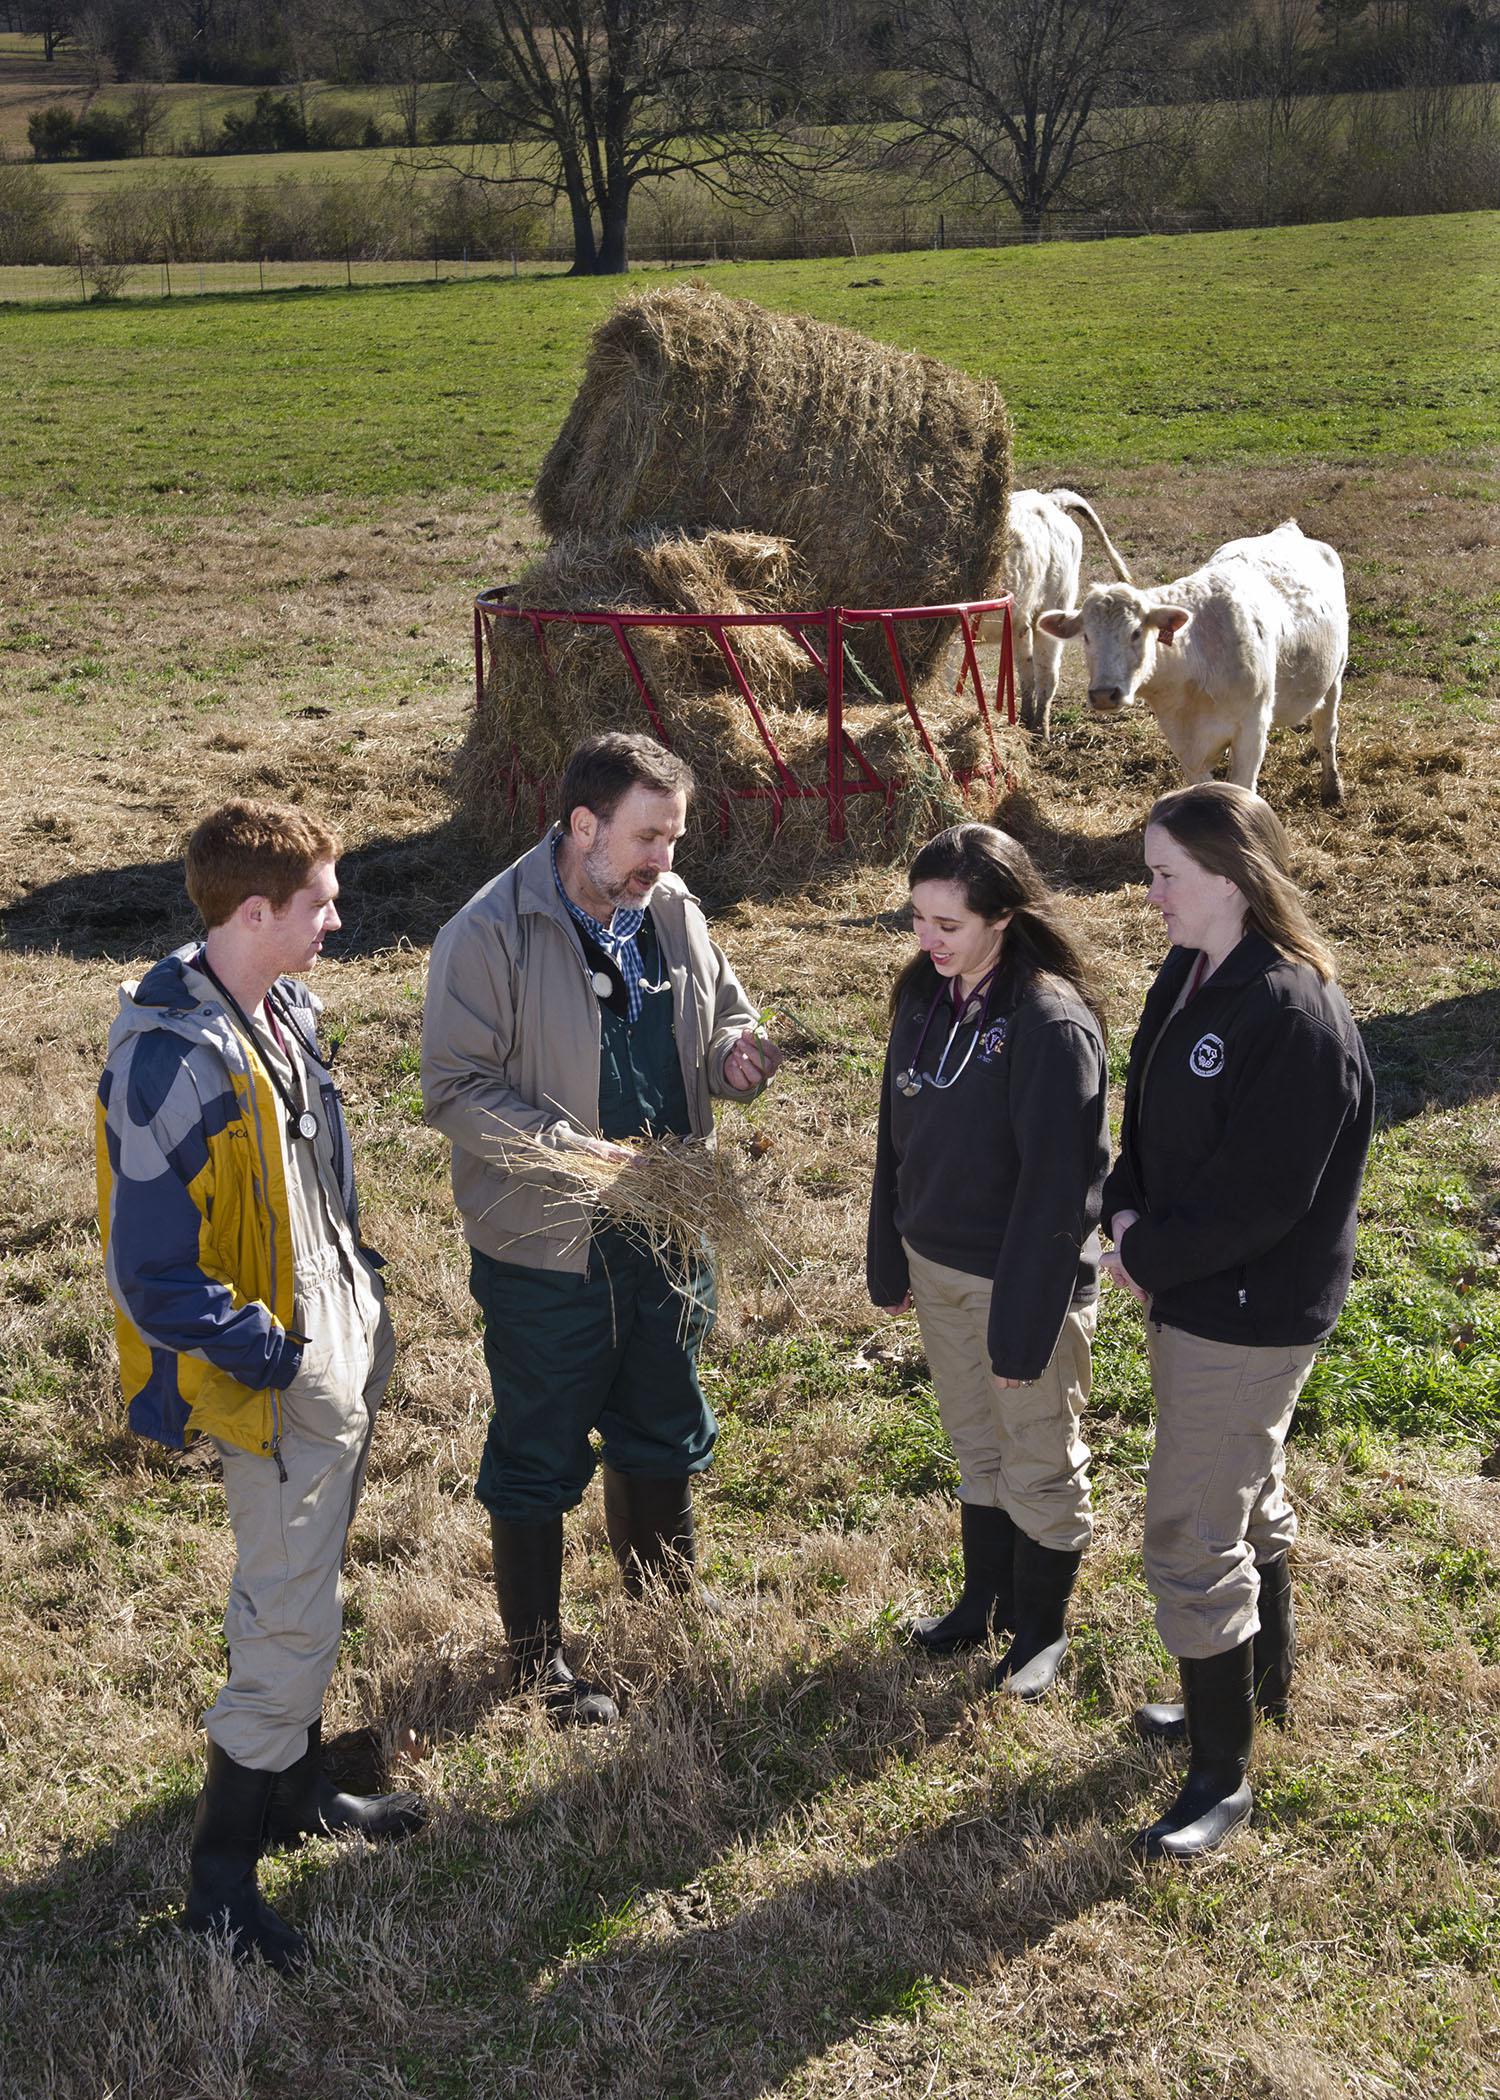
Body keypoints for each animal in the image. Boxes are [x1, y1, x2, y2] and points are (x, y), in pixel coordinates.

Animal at [974, 485, 1126, 739]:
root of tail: (1050, 500)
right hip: (1020, 624)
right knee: (1027, 671)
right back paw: (1025, 723)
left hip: (1052, 613)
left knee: (1047, 674)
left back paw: (1041, 733)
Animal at [1042, 518, 1344, 802]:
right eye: (1087, 636)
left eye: (1136, 632)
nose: (1104, 694)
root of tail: (1286, 529)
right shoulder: (1182, 740)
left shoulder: (1253, 728)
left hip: (1335, 675)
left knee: (1326, 731)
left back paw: (1332, 788)